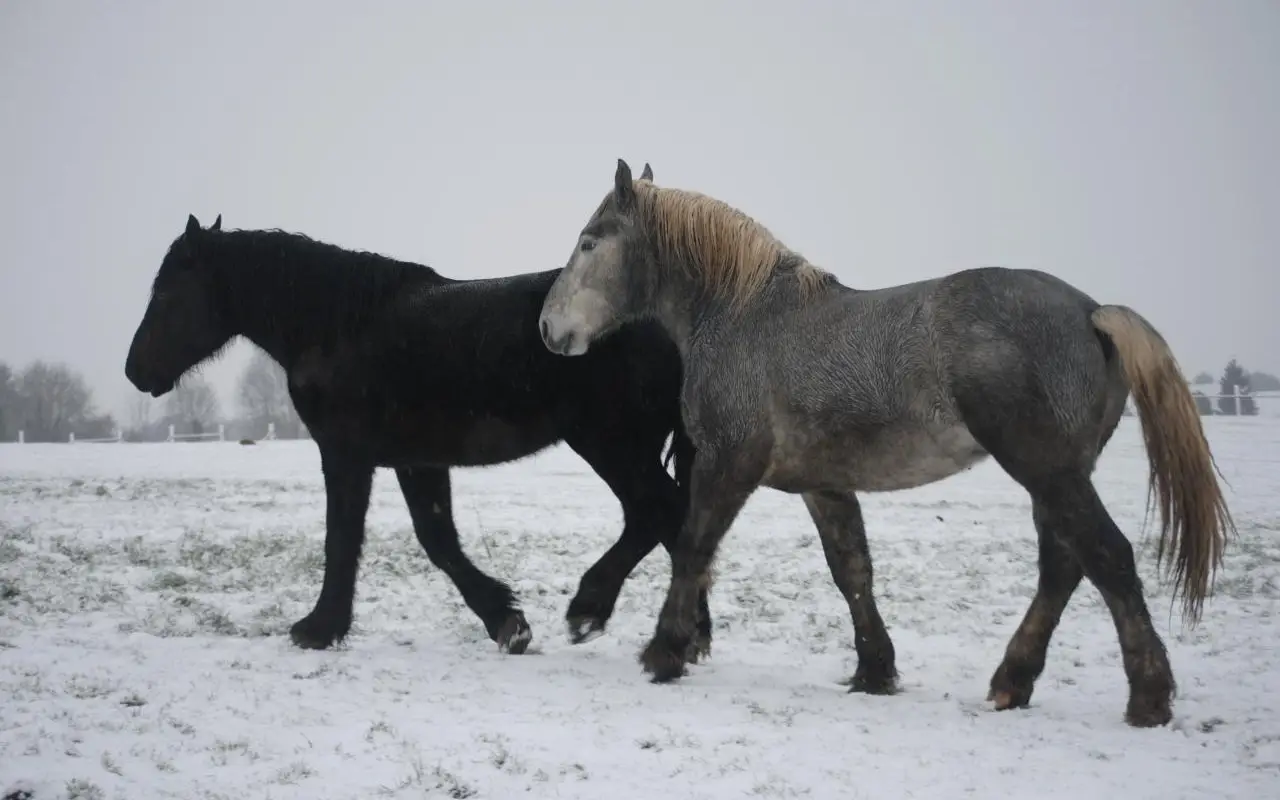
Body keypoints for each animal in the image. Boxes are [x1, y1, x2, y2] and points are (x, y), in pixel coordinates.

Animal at [124, 212, 714, 658]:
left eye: (169, 294)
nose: (135, 371)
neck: (338, 326)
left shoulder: (346, 456)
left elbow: (343, 538)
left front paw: (319, 627)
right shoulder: (418, 461)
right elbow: (439, 540)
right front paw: (506, 622)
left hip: (612, 445)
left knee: (657, 514)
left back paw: (594, 612)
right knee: (671, 521)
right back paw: (688, 636)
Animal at [536, 159, 1234, 728]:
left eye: (589, 241)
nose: (547, 328)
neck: (743, 316)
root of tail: (1091, 311)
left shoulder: (729, 464)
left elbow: (692, 548)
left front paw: (665, 652)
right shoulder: (823, 484)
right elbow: (852, 571)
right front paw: (875, 670)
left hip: (1046, 469)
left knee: (1107, 558)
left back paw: (1148, 697)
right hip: (1057, 475)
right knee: (1064, 568)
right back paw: (1013, 682)